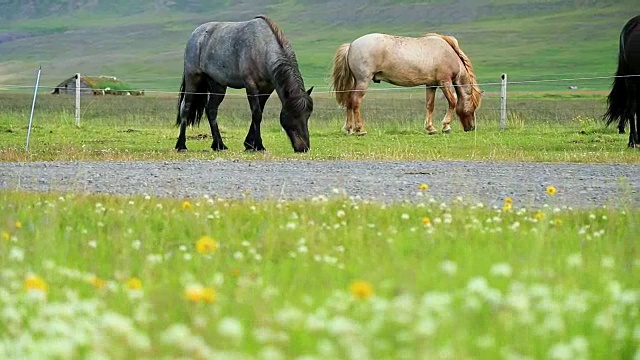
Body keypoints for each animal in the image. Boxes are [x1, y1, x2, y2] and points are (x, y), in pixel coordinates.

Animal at [175, 14, 316, 153]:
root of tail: (195, 35)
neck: (262, 46)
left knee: (211, 110)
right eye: (294, 115)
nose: (304, 148)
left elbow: (258, 113)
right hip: (193, 79)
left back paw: (219, 145)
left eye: (308, 115)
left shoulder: (267, 89)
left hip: (218, 85)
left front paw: (249, 144)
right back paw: (181, 145)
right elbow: (257, 114)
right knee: (185, 107)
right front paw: (258, 145)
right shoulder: (251, 86)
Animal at [330, 32, 480, 135]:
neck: (447, 53)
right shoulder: (445, 82)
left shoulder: (431, 85)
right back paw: (360, 129)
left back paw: (349, 128)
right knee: (356, 101)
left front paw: (430, 128)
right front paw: (446, 126)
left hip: (357, 82)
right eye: (473, 107)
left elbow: (430, 105)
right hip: (363, 81)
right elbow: (453, 102)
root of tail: (351, 45)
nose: (472, 128)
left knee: (350, 100)